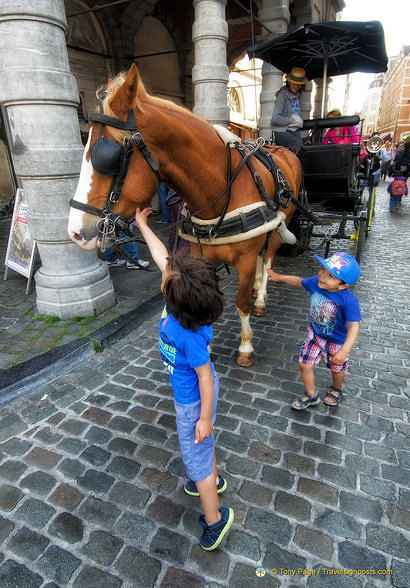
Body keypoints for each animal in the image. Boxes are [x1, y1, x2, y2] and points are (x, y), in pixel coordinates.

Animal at [68, 65, 302, 368]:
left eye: (107, 156)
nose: (75, 232)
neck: (223, 188)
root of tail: (278, 147)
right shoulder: (204, 256)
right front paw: (206, 344)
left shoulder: (247, 259)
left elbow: (241, 303)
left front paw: (245, 347)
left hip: (279, 226)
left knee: (269, 256)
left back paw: (260, 298)